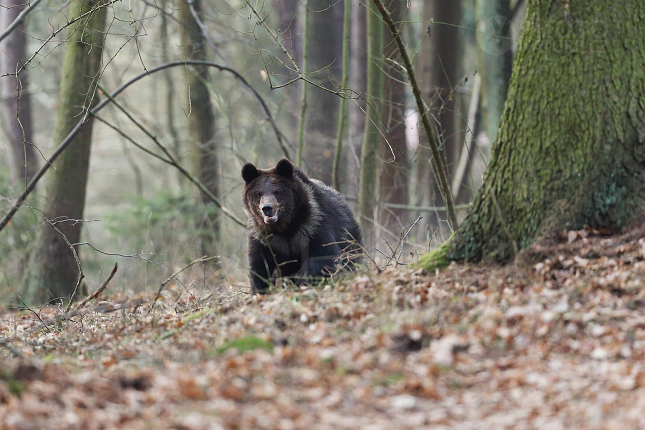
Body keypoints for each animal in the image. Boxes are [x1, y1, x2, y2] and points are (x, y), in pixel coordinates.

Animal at [242, 160, 362, 294]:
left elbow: (324, 255)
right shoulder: (264, 238)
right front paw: (262, 289)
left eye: (277, 191)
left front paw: (299, 280)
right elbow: (261, 266)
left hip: (349, 236)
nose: (267, 208)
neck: (285, 226)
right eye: (259, 193)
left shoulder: (313, 225)